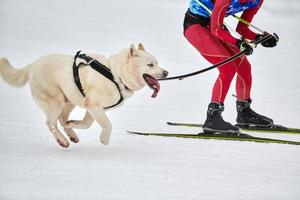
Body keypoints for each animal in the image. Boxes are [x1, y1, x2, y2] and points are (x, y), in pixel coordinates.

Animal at [0, 43, 168, 147]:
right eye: (150, 65)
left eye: (157, 63)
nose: (166, 72)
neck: (116, 75)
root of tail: (34, 64)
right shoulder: (93, 105)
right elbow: (108, 125)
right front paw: (104, 139)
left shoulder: (93, 108)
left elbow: (87, 124)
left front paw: (73, 124)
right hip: (56, 102)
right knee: (51, 123)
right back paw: (63, 141)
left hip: (70, 100)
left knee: (62, 119)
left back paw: (71, 134)